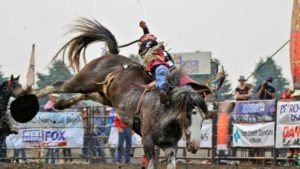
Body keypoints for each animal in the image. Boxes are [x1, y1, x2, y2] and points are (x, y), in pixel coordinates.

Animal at [16, 17, 210, 168]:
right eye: (189, 115)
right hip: (83, 81)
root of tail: (110, 54)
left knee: (84, 95)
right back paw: (23, 95)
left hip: (103, 95)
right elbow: (151, 162)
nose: (194, 146)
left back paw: (60, 103)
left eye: (203, 119)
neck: (164, 111)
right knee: (58, 85)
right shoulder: (148, 141)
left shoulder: (170, 147)